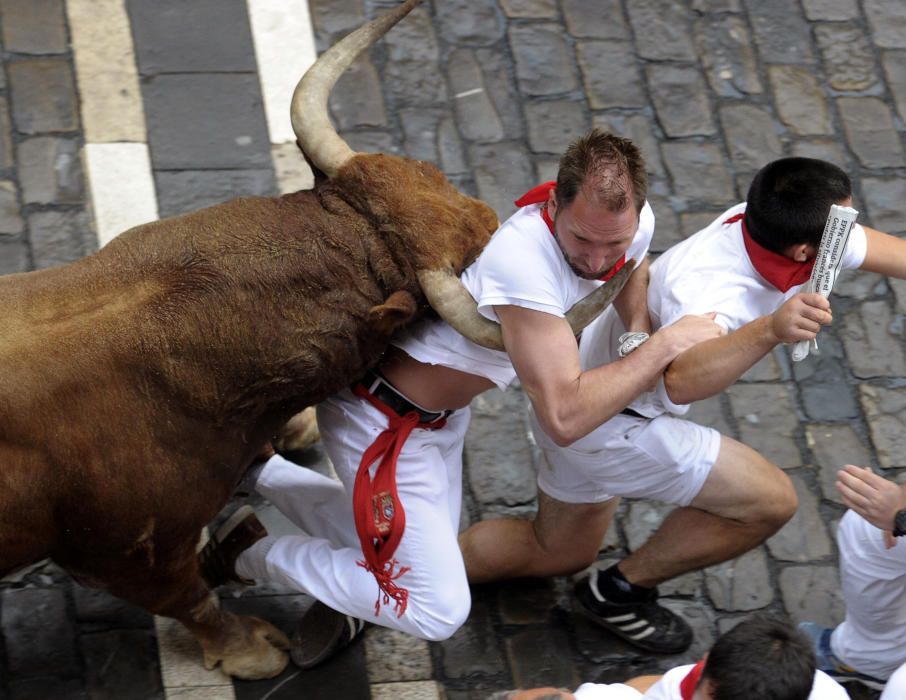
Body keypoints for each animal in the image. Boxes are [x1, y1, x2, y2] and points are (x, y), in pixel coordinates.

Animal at [0, 0, 494, 680]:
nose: (496, 217)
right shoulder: (122, 552)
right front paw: (251, 649)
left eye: (430, 170)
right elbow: (191, 598)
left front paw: (295, 429)